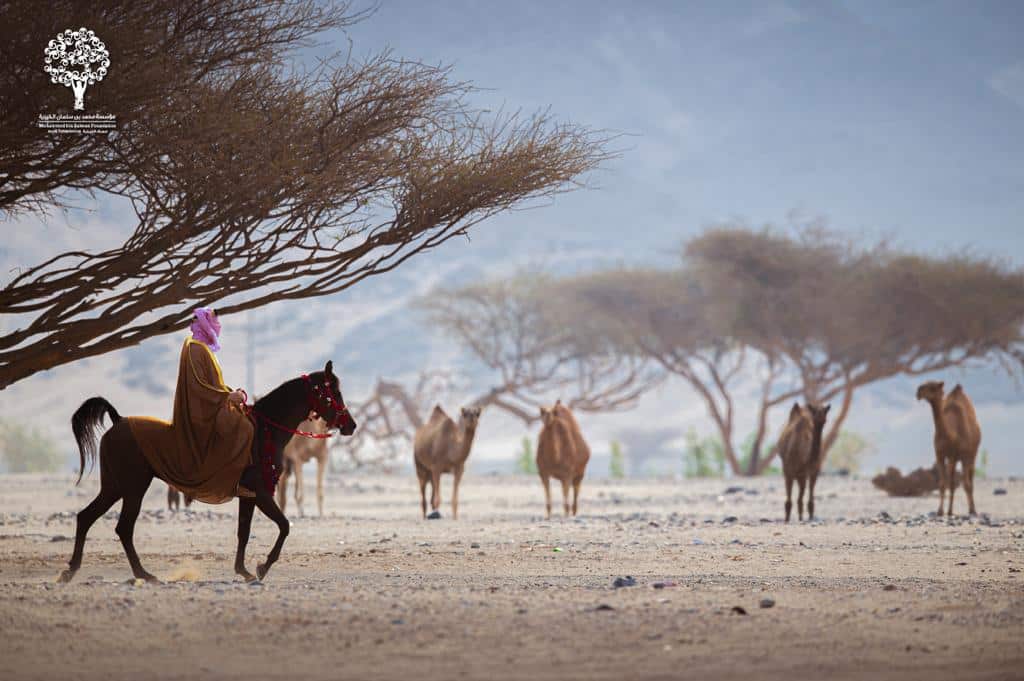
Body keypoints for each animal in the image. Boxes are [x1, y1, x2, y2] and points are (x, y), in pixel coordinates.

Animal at [60, 358, 356, 581]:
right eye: (334, 392)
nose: (351, 425)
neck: (265, 431)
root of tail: (118, 420)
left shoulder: (249, 495)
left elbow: (244, 531)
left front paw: (244, 571)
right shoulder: (261, 493)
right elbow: (284, 526)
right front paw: (262, 567)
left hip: (114, 486)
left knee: (86, 517)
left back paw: (72, 570)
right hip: (133, 487)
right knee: (123, 527)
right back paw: (143, 574)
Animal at [917, 378, 978, 512]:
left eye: (933, 387)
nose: (918, 391)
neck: (951, 436)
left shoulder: (961, 456)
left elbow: (965, 484)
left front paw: (971, 511)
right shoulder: (940, 455)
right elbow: (942, 484)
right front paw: (940, 511)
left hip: (972, 455)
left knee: (970, 479)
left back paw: (972, 509)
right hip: (954, 459)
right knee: (953, 482)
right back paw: (951, 511)